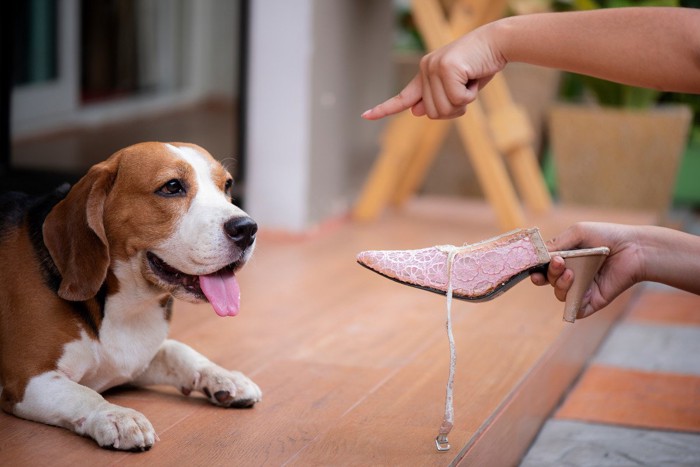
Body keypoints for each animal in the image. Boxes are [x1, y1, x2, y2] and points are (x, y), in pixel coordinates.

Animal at [0, 142, 262, 450]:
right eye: (172, 187)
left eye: (227, 185)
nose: (247, 228)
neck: (128, 307)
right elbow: (83, 394)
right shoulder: (26, 379)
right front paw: (117, 416)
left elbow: (178, 350)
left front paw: (223, 376)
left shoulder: (134, 359)